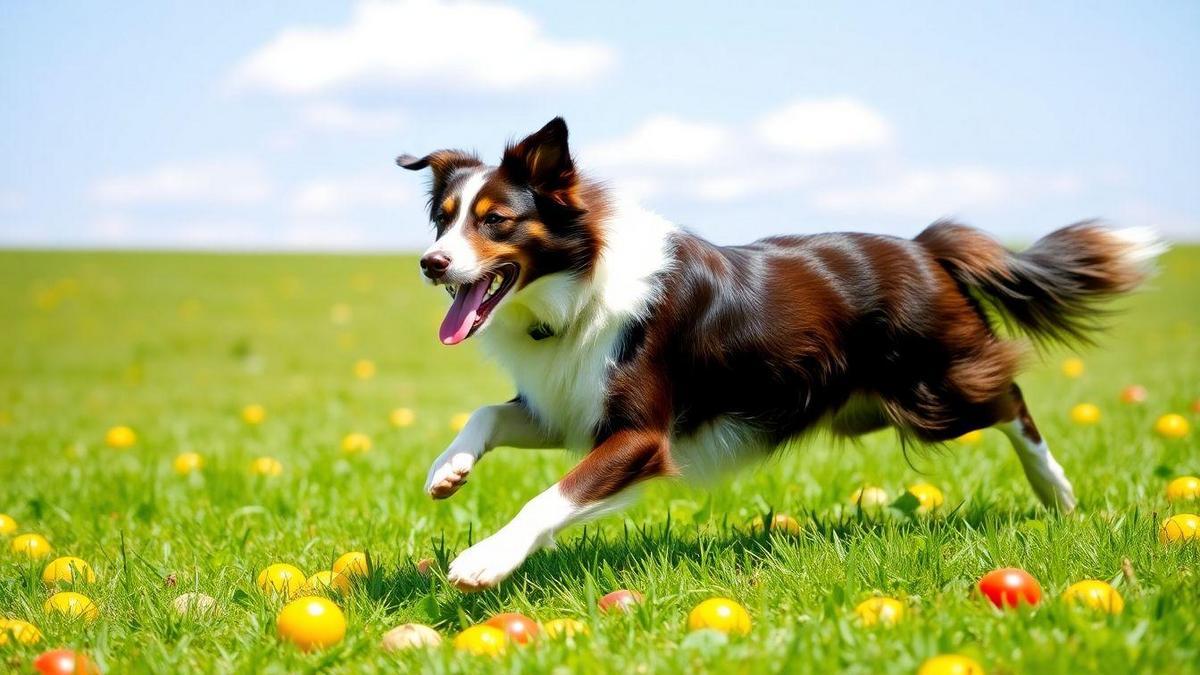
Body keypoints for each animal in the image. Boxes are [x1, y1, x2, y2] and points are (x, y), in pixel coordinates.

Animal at [396, 117, 1161, 588]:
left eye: (497, 222)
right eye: (443, 221)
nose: (431, 264)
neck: (579, 286)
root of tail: (925, 246)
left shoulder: (641, 434)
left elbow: (552, 496)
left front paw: (485, 560)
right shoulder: (568, 408)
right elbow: (488, 413)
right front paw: (446, 470)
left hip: (932, 393)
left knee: (1011, 397)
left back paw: (1056, 491)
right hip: (869, 404)